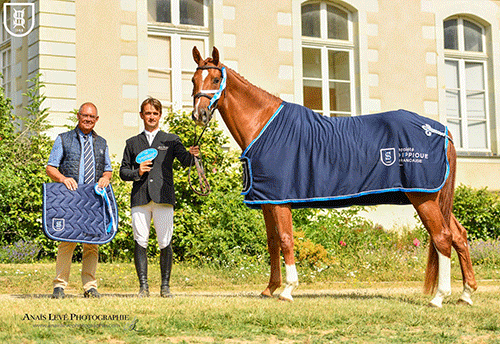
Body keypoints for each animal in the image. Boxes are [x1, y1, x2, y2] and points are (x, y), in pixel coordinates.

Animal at [190, 45, 476, 306]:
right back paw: (466, 294)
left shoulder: (280, 201)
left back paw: (439, 297)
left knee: (443, 237)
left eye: (214, 80)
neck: (263, 125)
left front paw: (288, 290)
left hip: (423, 198)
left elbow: (286, 239)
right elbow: (272, 242)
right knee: (459, 235)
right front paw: (270, 288)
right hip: (434, 197)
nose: (199, 115)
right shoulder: (267, 201)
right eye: (193, 80)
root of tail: (439, 130)